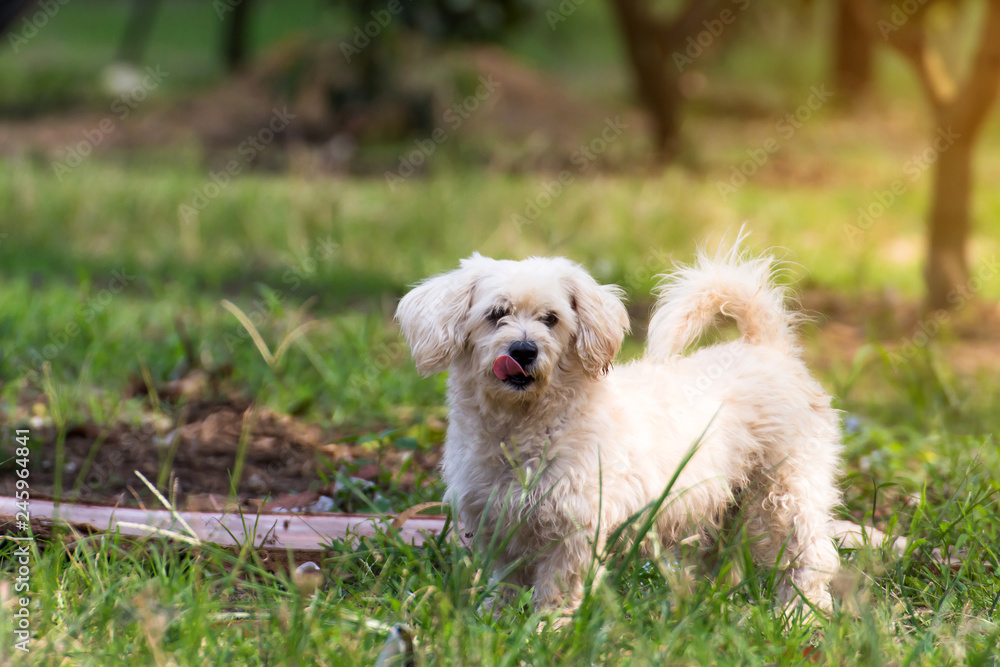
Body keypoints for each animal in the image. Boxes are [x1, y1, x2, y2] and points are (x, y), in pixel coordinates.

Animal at [394, 240, 840, 616]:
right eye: (495, 315)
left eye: (551, 319)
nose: (523, 350)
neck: (522, 426)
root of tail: (768, 348)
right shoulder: (493, 525)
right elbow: (504, 585)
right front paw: (495, 621)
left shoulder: (575, 528)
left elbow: (557, 589)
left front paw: (547, 630)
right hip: (720, 506)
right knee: (721, 561)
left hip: (786, 493)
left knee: (810, 557)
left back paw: (800, 616)